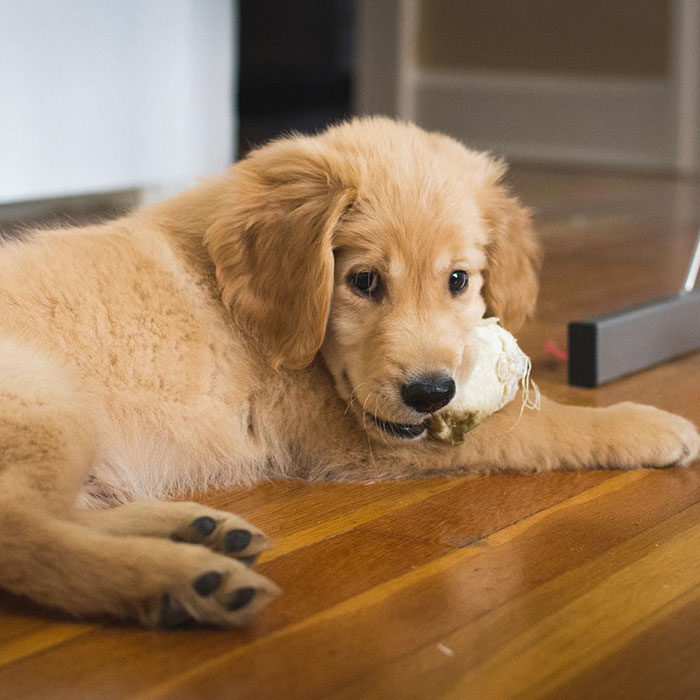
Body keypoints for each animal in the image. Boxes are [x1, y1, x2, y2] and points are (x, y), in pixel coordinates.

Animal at [0, 117, 696, 628]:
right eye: (362, 281)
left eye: (458, 280)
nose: (430, 393)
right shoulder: (356, 440)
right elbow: (540, 427)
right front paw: (649, 424)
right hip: (48, 405)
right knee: (23, 536)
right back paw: (181, 581)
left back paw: (198, 533)